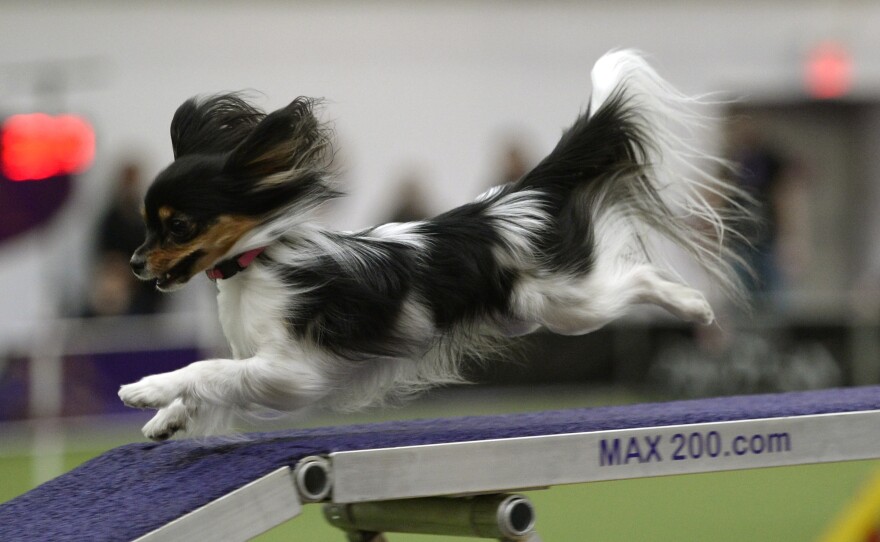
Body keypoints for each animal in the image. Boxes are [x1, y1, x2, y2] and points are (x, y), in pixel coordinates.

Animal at [120, 51, 744, 442]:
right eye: (147, 226)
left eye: (178, 227)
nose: (133, 262)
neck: (257, 262)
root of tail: (503, 204)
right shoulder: (265, 366)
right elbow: (215, 385)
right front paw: (168, 420)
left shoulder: (292, 372)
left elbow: (207, 369)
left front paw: (146, 390)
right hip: (526, 313)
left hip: (569, 305)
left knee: (636, 279)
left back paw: (693, 307)